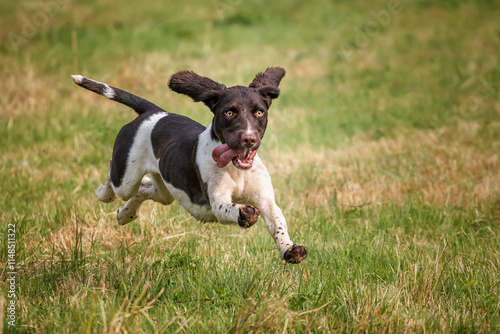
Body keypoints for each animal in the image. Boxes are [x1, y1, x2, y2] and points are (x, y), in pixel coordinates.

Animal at [72, 68, 306, 264]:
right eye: (229, 112)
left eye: (259, 112)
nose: (249, 139)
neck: (235, 168)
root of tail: (154, 112)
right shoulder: (217, 201)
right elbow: (230, 208)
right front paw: (244, 214)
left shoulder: (266, 200)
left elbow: (278, 222)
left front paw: (290, 249)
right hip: (126, 178)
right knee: (115, 176)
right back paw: (103, 193)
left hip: (164, 191)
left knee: (144, 188)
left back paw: (125, 214)